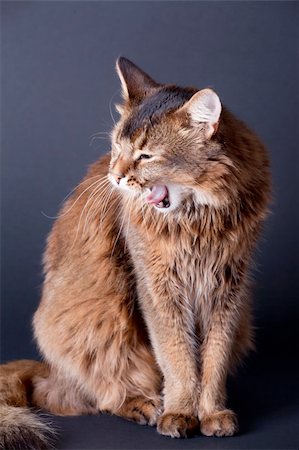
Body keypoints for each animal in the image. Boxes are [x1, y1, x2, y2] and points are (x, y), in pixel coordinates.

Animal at [0, 57, 272, 450]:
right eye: (117, 146)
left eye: (146, 156)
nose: (115, 176)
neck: (198, 220)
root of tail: (49, 370)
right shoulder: (158, 287)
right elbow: (176, 356)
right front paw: (180, 412)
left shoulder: (229, 289)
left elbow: (214, 360)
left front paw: (212, 413)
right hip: (99, 317)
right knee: (77, 394)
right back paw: (142, 404)